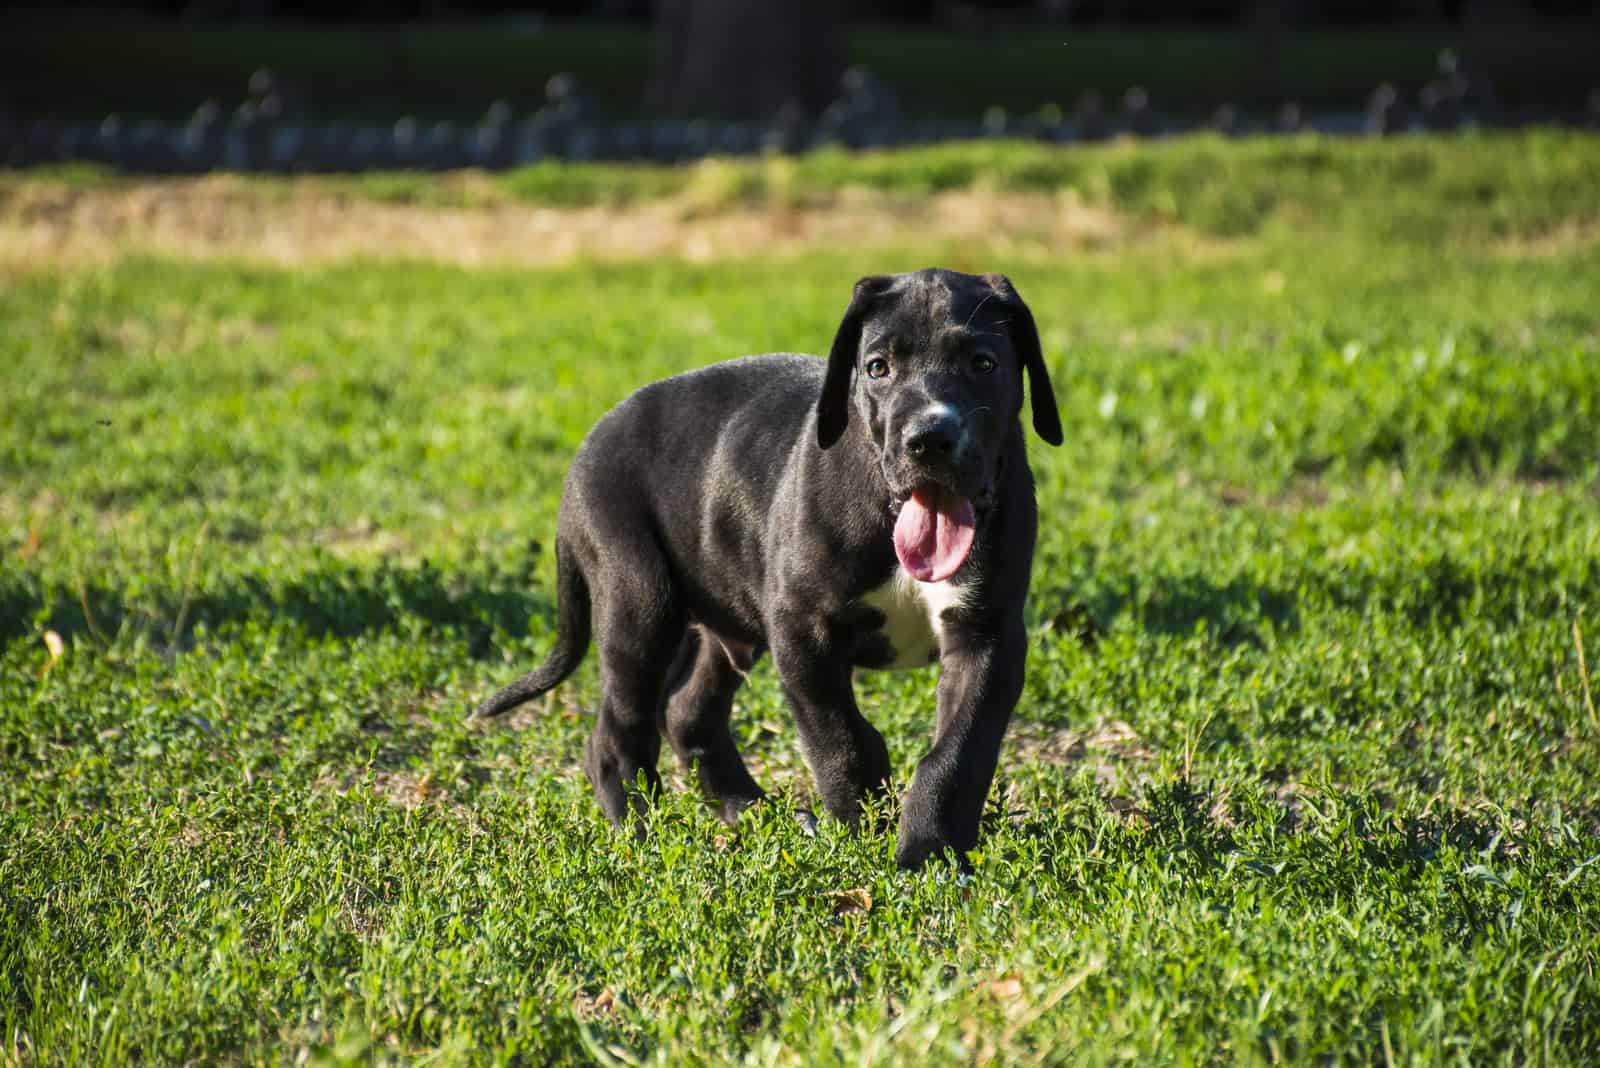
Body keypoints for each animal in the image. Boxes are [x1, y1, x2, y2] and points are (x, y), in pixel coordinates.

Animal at [473, 267, 1062, 869]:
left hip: (722, 616)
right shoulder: (803, 630)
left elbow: (959, 752)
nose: (929, 439)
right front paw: (863, 828)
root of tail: (587, 446)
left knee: (688, 712)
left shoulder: (988, 636)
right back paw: (643, 832)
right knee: (616, 734)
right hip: (638, 599)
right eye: (878, 367)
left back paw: (752, 811)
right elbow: (842, 739)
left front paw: (930, 851)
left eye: (983, 363)